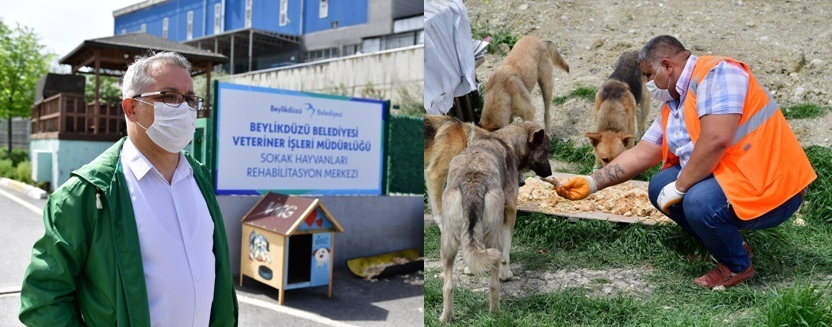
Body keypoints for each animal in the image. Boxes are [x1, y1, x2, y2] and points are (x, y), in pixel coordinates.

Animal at [436, 121, 552, 322]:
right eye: (545, 152)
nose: (551, 172)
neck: (507, 141)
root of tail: (472, 181)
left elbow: (473, 247)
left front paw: (471, 268)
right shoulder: (510, 211)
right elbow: (506, 252)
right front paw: (506, 274)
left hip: (448, 242)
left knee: (448, 286)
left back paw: (446, 317)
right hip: (494, 236)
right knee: (493, 283)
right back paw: (496, 311)